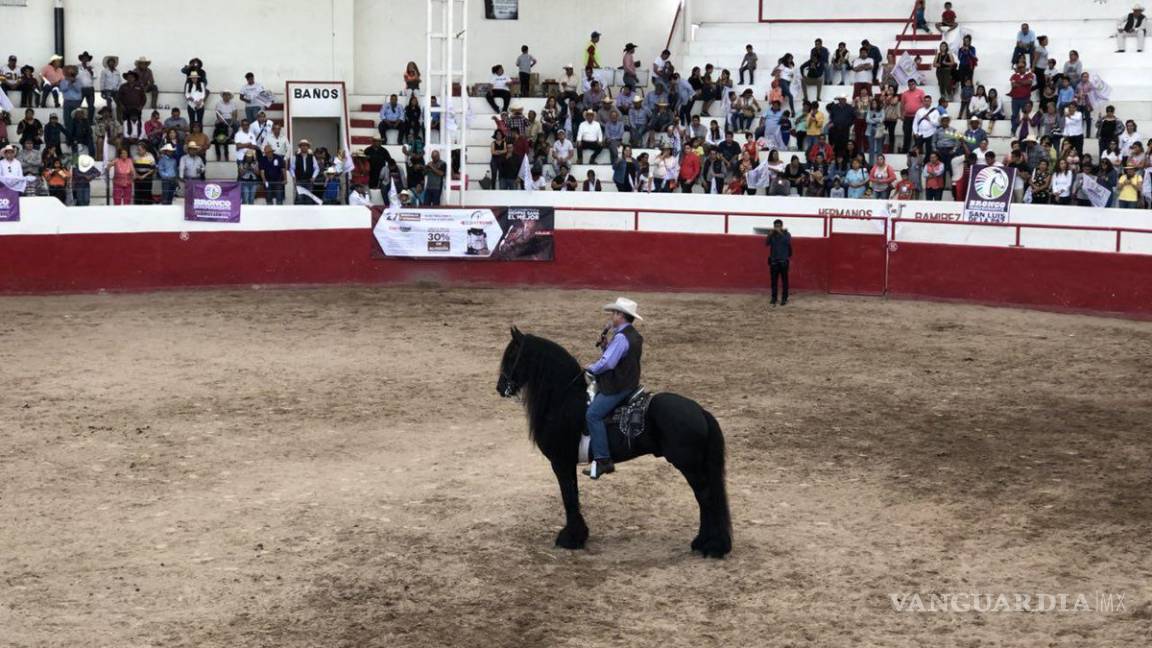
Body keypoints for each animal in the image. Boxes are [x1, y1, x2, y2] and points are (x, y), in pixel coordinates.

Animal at [493, 327, 728, 555]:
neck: (565, 401)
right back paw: (704, 543)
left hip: (689, 465)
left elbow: (568, 497)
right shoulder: (567, 463)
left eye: (512, 355)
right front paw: (578, 535)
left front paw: (570, 538)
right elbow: (573, 494)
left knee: (705, 497)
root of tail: (699, 411)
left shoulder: (560, 462)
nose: (500, 387)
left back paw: (711, 545)